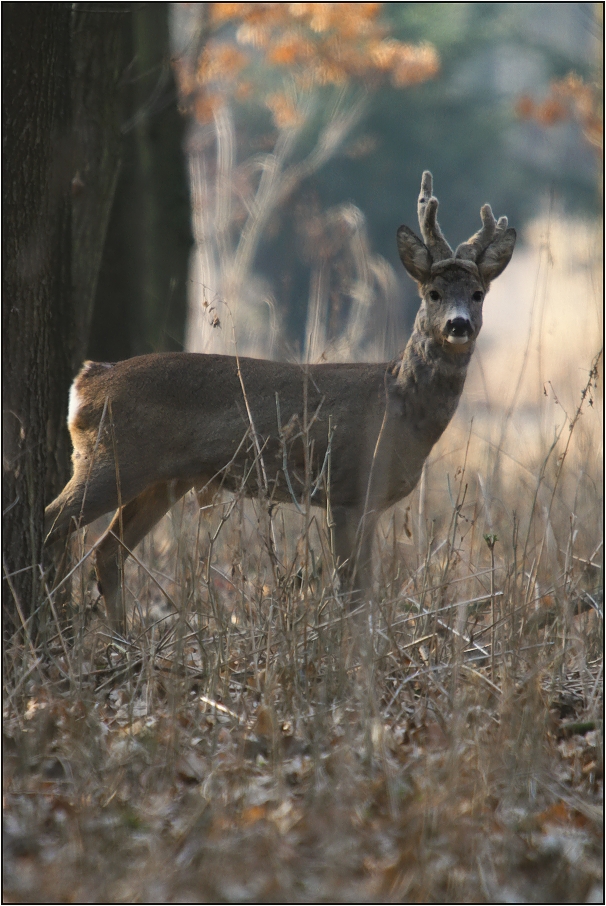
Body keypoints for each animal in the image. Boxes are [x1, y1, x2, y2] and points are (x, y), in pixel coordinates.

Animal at [45, 173, 516, 632]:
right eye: (433, 292)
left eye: (478, 294)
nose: (458, 325)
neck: (399, 405)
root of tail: (88, 379)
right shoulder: (345, 489)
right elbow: (351, 592)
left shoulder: (370, 502)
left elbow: (364, 590)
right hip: (111, 458)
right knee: (52, 523)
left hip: (162, 479)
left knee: (106, 553)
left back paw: (122, 640)